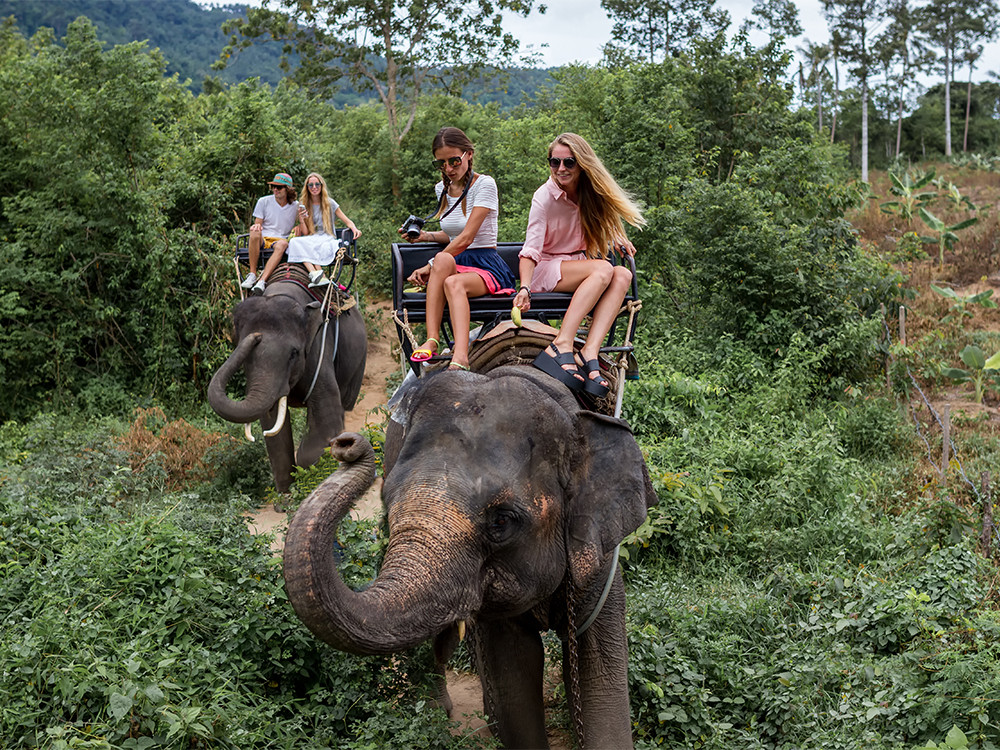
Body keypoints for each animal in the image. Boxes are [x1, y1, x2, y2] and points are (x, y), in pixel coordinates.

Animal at [207, 274, 368, 496]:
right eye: (245, 357)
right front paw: (285, 495)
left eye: (294, 353)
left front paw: (310, 478)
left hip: (358, 363)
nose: (255, 336)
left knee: (345, 405)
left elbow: (325, 418)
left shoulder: (319, 348)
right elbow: (273, 427)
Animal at [282, 368, 656, 748]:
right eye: (387, 503)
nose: (345, 444)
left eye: (501, 521)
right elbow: (513, 670)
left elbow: (600, 666)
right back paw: (441, 712)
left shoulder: (601, 551)